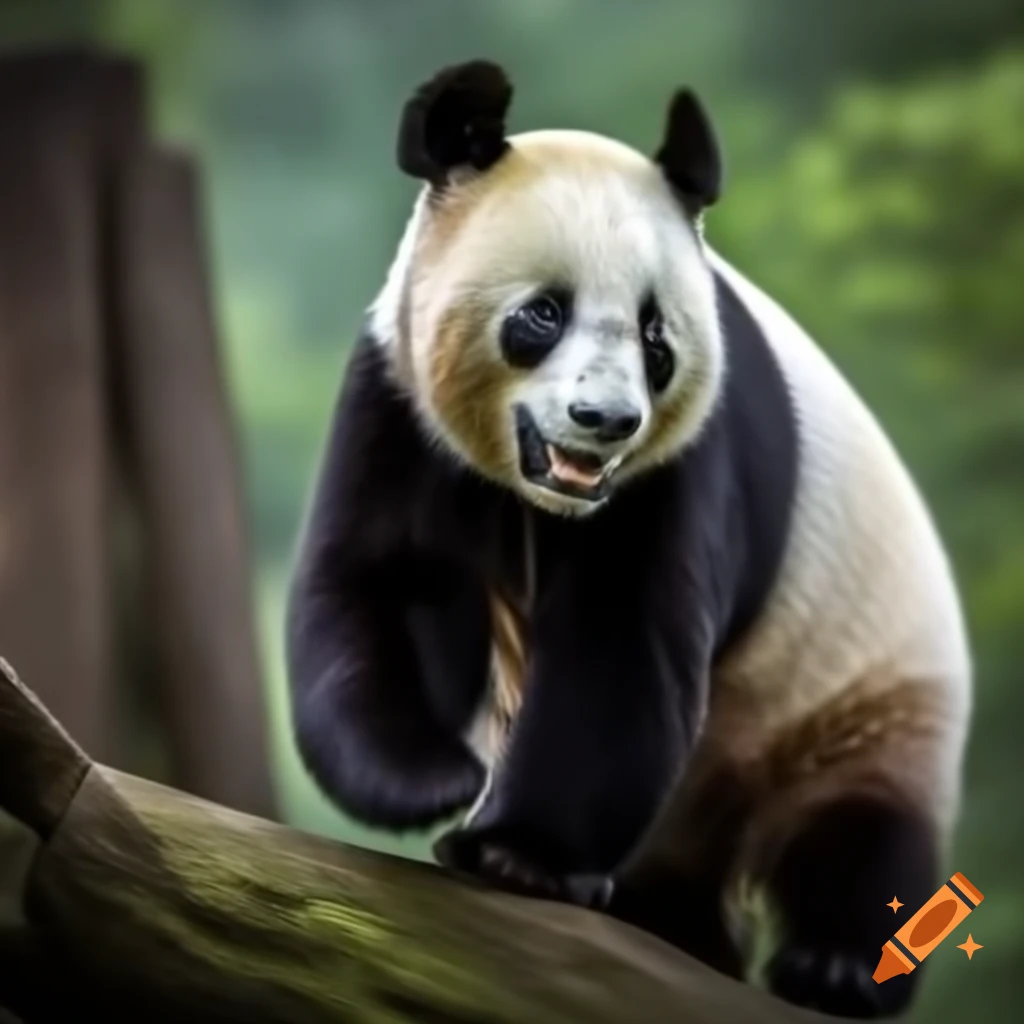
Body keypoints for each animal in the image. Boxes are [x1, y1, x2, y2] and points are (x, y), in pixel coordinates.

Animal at [285, 61, 972, 1019]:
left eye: (656, 334)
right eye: (543, 314)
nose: (603, 420)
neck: (542, 498)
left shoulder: (685, 460)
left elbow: (618, 646)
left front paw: (516, 853)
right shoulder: (398, 402)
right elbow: (386, 585)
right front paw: (433, 781)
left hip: (861, 680)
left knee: (859, 825)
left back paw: (831, 965)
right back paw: (667, 919)